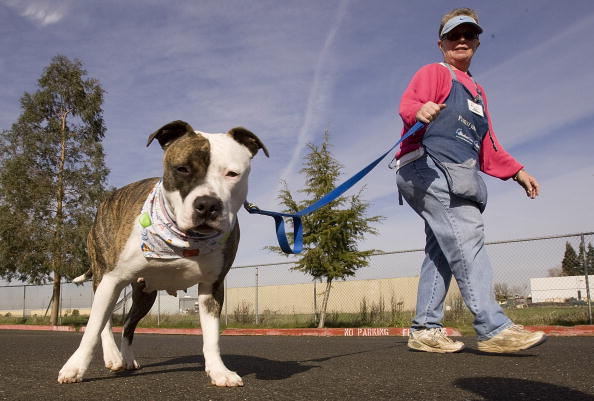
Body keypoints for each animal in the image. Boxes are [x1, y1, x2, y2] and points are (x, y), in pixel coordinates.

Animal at [57, 119, 266, 384]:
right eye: (182, 169)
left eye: (232, 174)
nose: (208, 205)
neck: (184, 240)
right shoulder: (112, 280)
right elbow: (92, 329)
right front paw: (75, 367)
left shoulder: (212, 287)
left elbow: (212, 337)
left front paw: (219, 371)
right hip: (103, 278)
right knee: (104, 324)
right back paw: (113, 356)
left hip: (145, 295)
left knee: (128, 325)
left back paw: (127, 358)